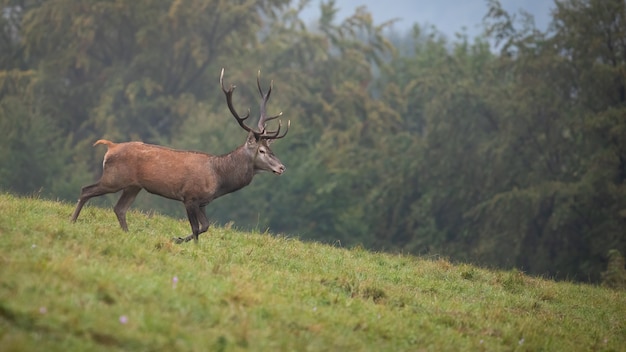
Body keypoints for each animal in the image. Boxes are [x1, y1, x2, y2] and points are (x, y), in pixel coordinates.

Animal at [69, 69, 288, 245]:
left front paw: (178, 239)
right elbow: (197, 228)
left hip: (133, 186)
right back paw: (72, 221)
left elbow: (206, 226)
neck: (219, 177)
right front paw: (190, 245)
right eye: (261, 151)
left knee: (119, 209)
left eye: (270, 149)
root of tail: (110, 146)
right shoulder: (189, 196)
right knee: (86, 190)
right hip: (114, 178)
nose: (281, 167)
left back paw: (126, 234)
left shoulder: (203, 202)